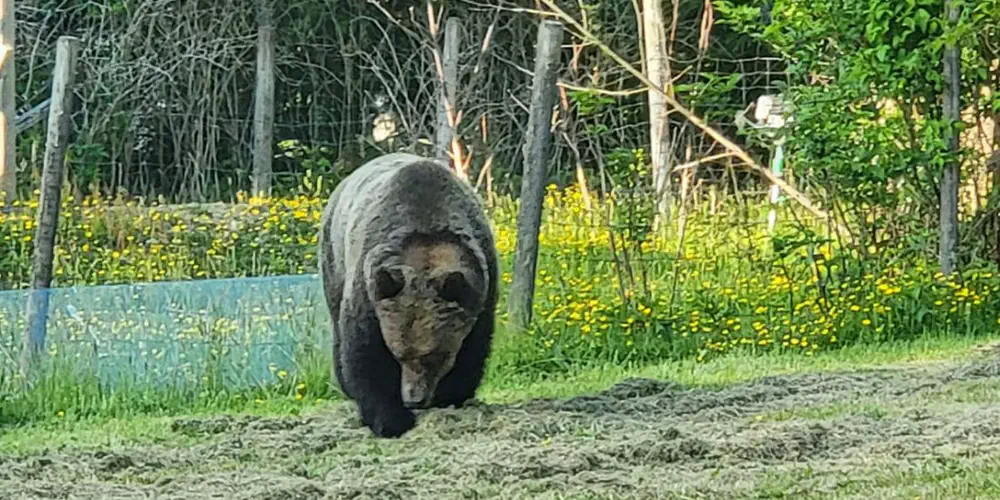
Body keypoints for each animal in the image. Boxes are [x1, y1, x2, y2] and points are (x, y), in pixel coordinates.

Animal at [317, 152, 499, 438]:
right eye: (398, 354)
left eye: (433, 355)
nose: (414, 398)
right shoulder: (371, 292)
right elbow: (364, 353)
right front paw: (389, 419)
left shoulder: (482, 292)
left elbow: (473, 349)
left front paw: (450, 395)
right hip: (334, 259)